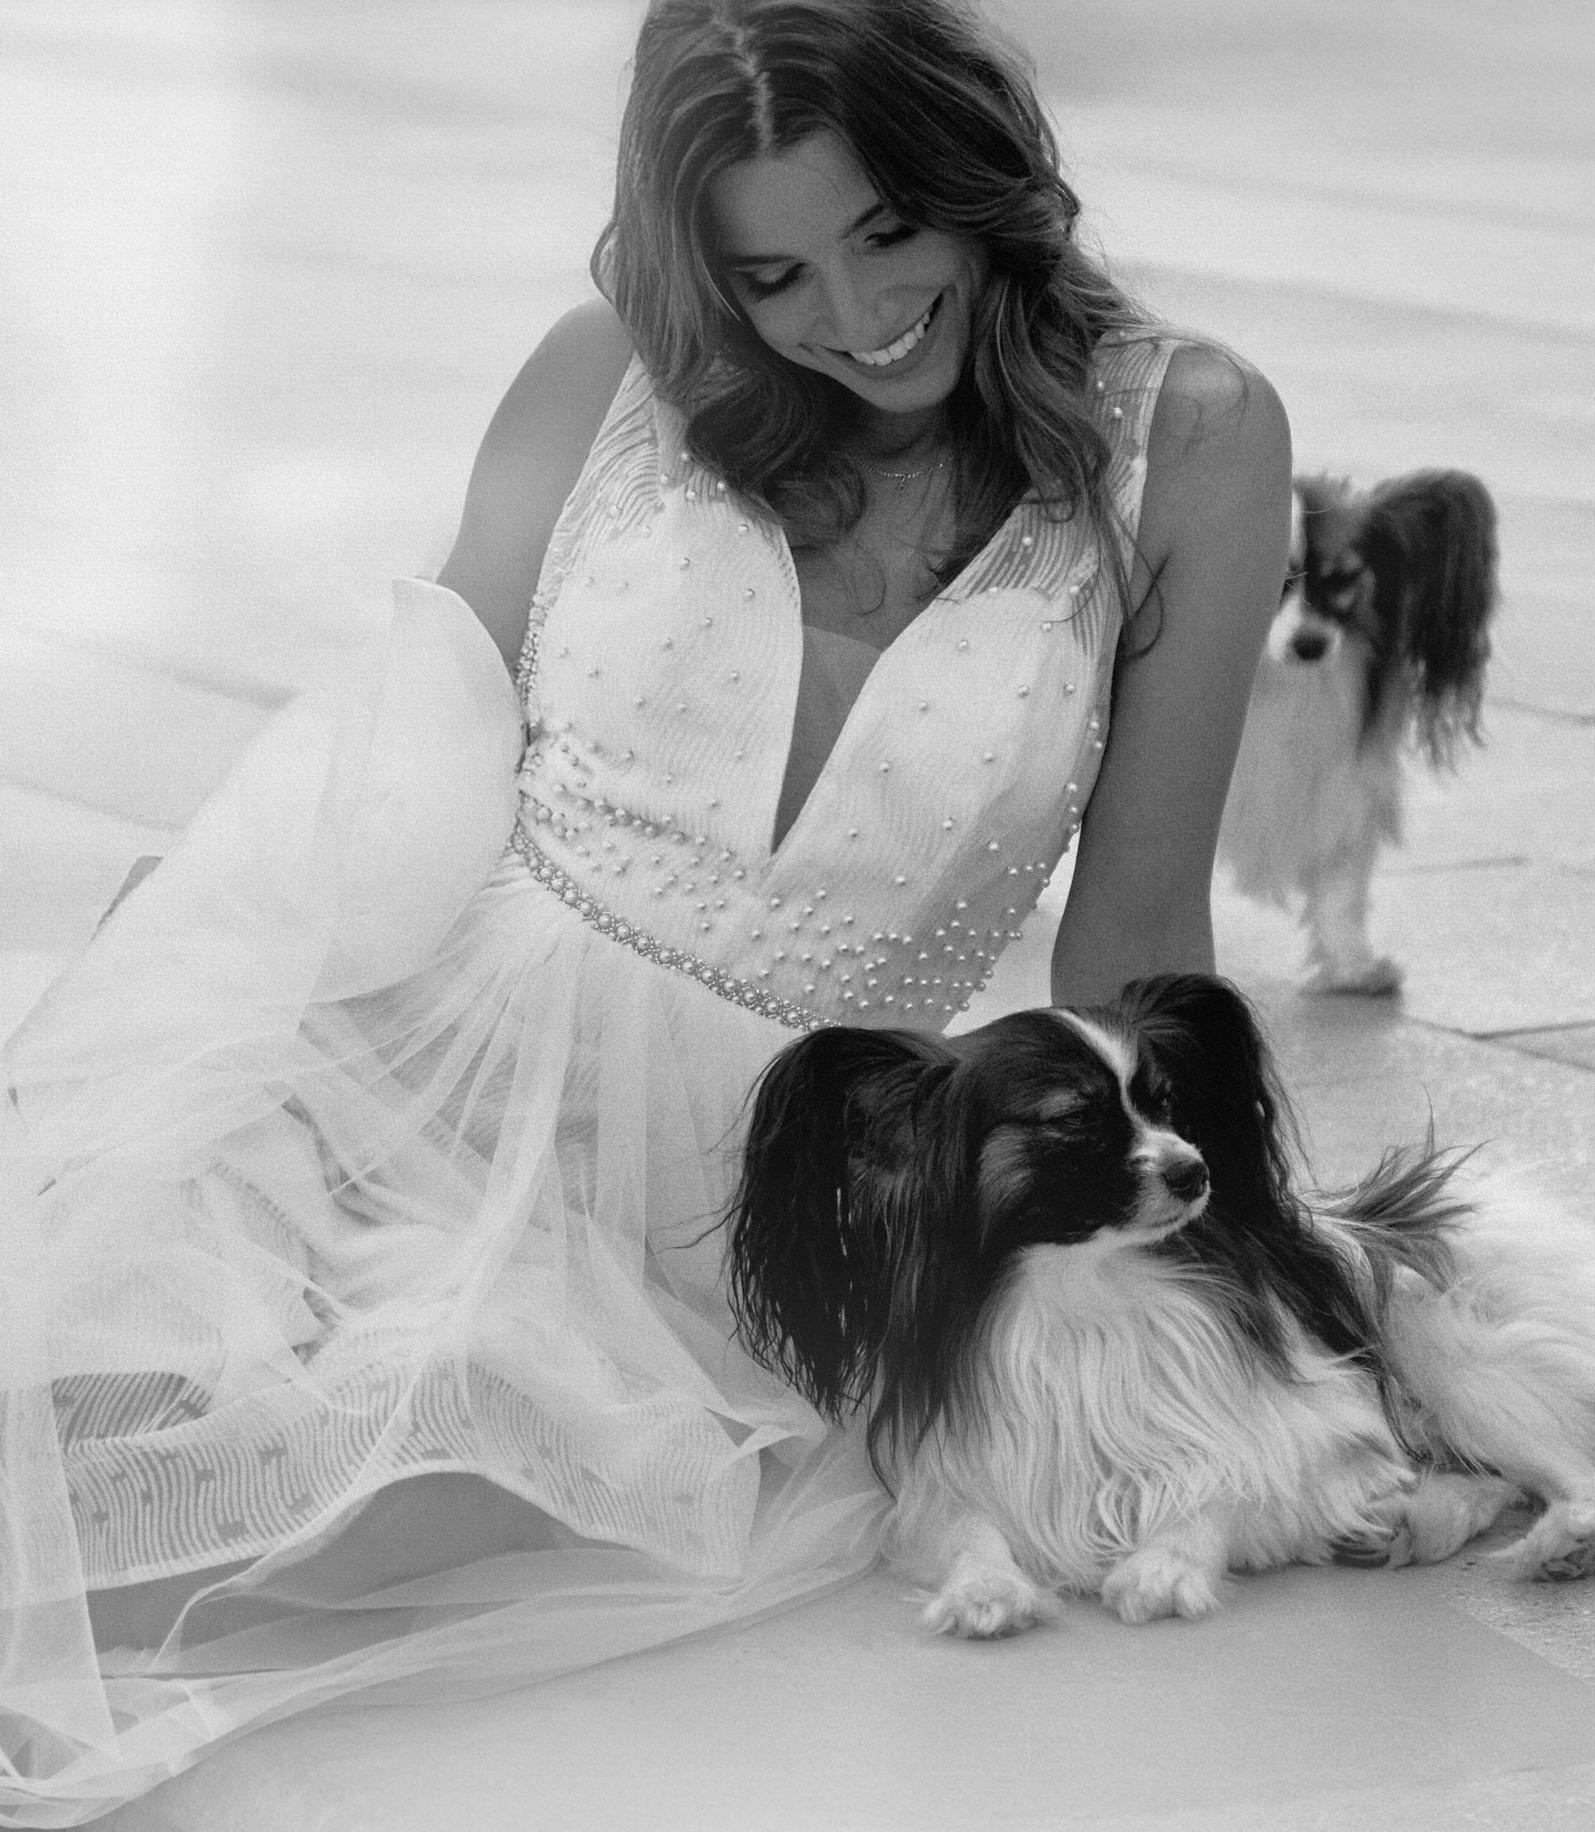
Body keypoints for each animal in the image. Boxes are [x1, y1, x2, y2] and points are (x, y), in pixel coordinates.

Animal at [726, 974, 1595, 1636]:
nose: (1194, 1170)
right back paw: (1410, 1522)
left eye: (1169, 1106)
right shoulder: (958, 1470)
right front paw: (985, 1591)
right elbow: (969, 1529)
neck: (1089, 1289)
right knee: (1485, 1480)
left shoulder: (1298, 1431)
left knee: (1560, 1467)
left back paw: (1554, 1542)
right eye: (1074, 1118)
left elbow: (1230, 1485)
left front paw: (1162, 1568)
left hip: (1451, 1357)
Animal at [1219, 470, 1498, 995]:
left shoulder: (1343, 785)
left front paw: (1352, 965)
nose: (1310, 645)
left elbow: (1341, 885)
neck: (1276, 681)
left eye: (1342, 581)